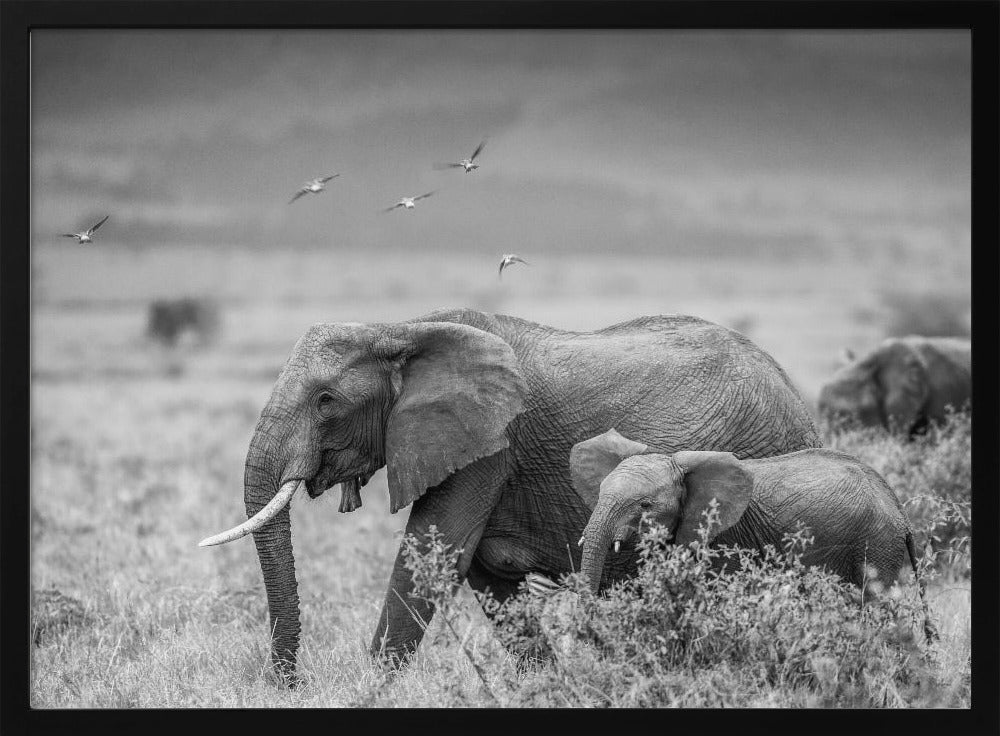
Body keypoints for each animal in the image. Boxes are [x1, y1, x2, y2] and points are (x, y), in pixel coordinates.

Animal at [199, 307, 821, 680]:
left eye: (326, 401)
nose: (285, 683)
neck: (402, 330)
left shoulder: (489, 444)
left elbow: (433, 553)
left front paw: (369, 687)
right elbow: (486, 572)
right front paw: (548, 684)